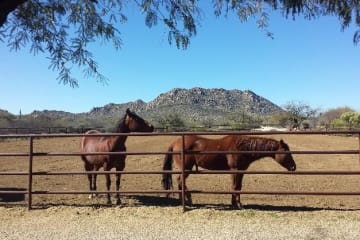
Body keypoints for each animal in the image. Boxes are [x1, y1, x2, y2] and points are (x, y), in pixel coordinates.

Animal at [162, 135, 296, 208]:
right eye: (286, 152)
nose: (294, 167)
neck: (242, 147)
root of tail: (175, 143)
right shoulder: (235, 170)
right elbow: (235, 187)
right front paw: (238, 204)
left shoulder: (240, 171)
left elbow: (237, 187)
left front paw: (234, 203)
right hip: (186, 169)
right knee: (180, 180)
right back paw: (188, 200)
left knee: (180, 181)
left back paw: (183, 201)